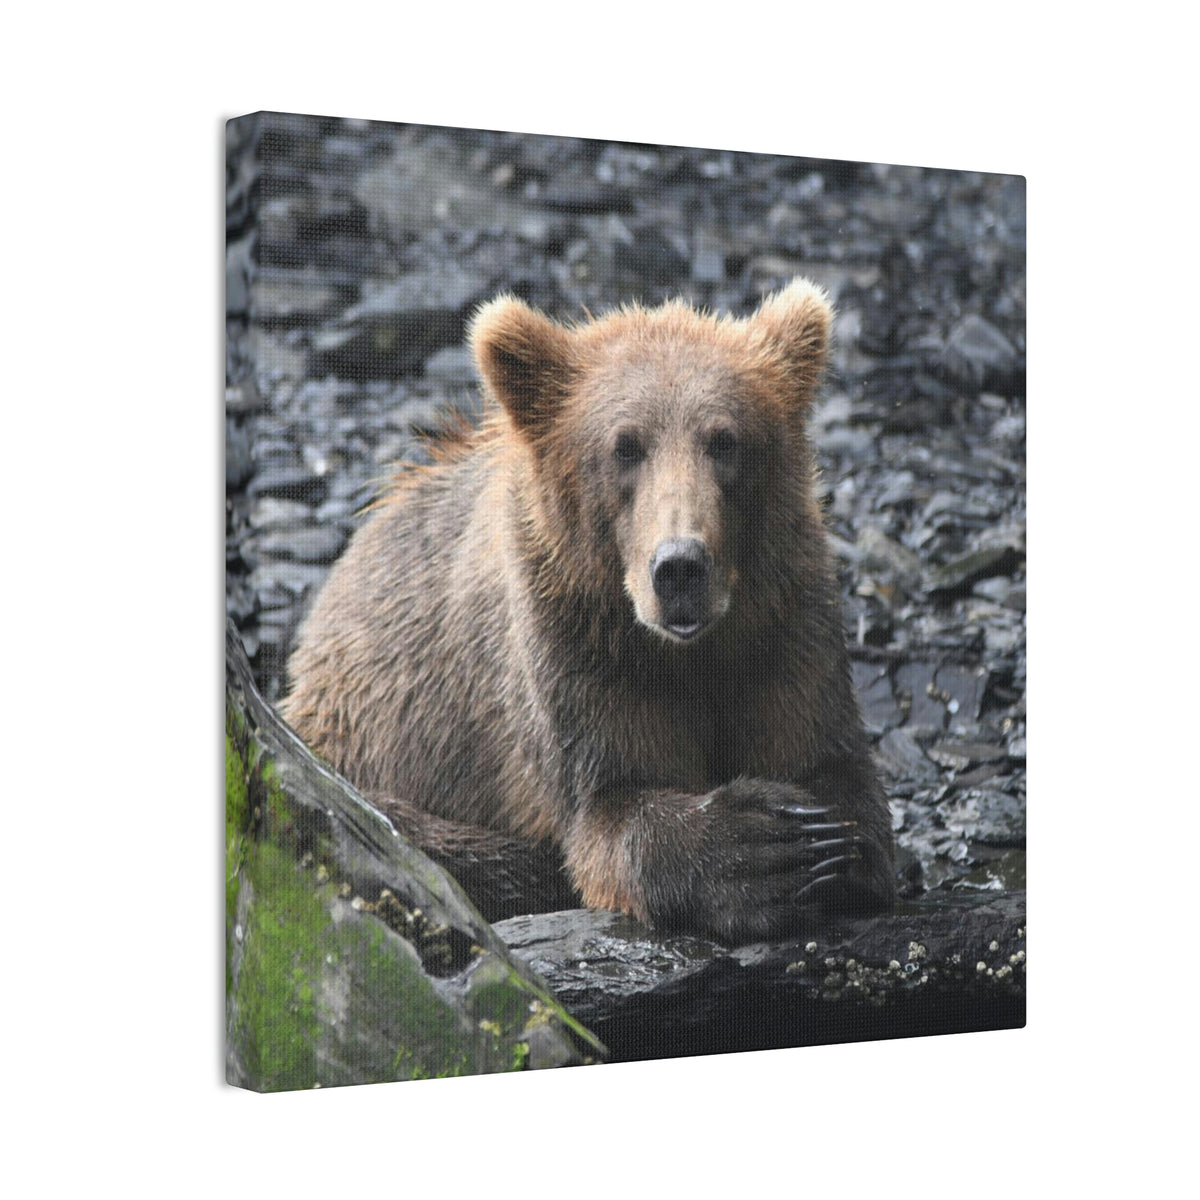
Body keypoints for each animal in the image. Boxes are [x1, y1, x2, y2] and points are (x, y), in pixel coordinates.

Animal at [283, 279, 895, 943]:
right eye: (625, 446)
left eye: (725, 440)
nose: (680, 568)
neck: (687, 651)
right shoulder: (574, 645)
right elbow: (610, 806)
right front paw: (762, 848)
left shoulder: (784, 622)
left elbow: (833, 769)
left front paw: (824, 844)